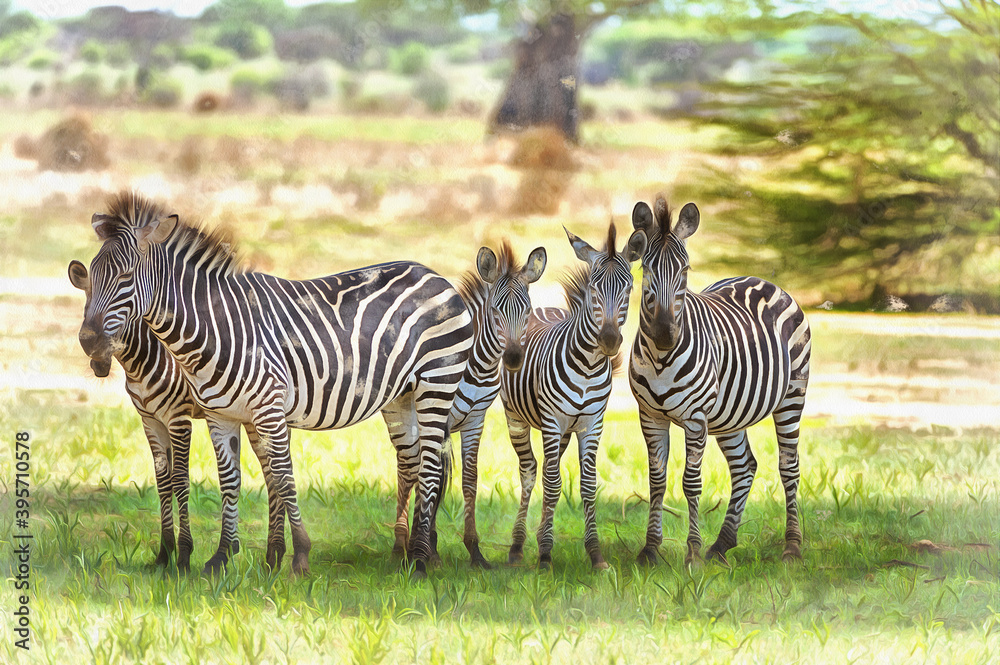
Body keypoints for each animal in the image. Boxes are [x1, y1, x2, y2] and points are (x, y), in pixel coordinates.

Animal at [68, 260, 246, 574]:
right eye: (85, 306)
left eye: (118, 312)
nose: (98, 363)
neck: (141, 360)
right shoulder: (151, 421)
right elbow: (163, 482)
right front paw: (164, 554)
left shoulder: (178, 419)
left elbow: (180, 482)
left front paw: (184, 556)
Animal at [501, 223, 646, 569]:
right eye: (594, 288)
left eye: (629, 288)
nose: (609, 340)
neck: (588, 367)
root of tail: (545, 307)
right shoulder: (553, 421)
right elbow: (554, 485)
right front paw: (545, 555)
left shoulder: (592, 424)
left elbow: (588, 485)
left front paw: (595, 554)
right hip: (518, 419)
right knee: (530, 473)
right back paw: (517, 548)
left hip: (565, 430)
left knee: (544, 472)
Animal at [628, 195, 811, 565]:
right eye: (646, 270)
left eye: (685, 271)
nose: (665, 335)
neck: (659, 359)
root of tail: (760, 279)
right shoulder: (650, 416)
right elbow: (656, 481)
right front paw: (651, 549)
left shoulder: (695, 418)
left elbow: (691, 483)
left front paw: (693, 552)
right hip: (729, 414)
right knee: (745, 466)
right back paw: (723, 543)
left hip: (792, 397)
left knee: (789, 467)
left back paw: (792, 547)